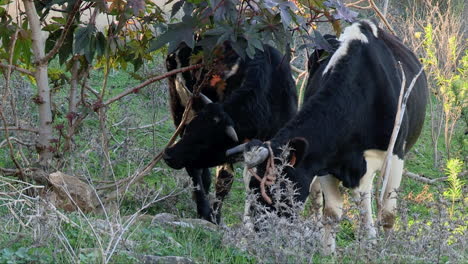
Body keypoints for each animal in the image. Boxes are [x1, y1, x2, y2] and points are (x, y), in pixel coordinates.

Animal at [163, 41, 298, 223]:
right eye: (191, 128)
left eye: (204, 143)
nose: (168, 155)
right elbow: (224, 178)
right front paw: (211, 215)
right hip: (178, 106)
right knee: (194, 170)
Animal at [227, 20, 428, 254]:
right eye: (249, 187)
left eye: (275, 186)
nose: (260, 234)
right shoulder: (324, 159)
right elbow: (331, 213)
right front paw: (328, 253)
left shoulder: (394, 156)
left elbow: (386, 214)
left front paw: (381, 250)